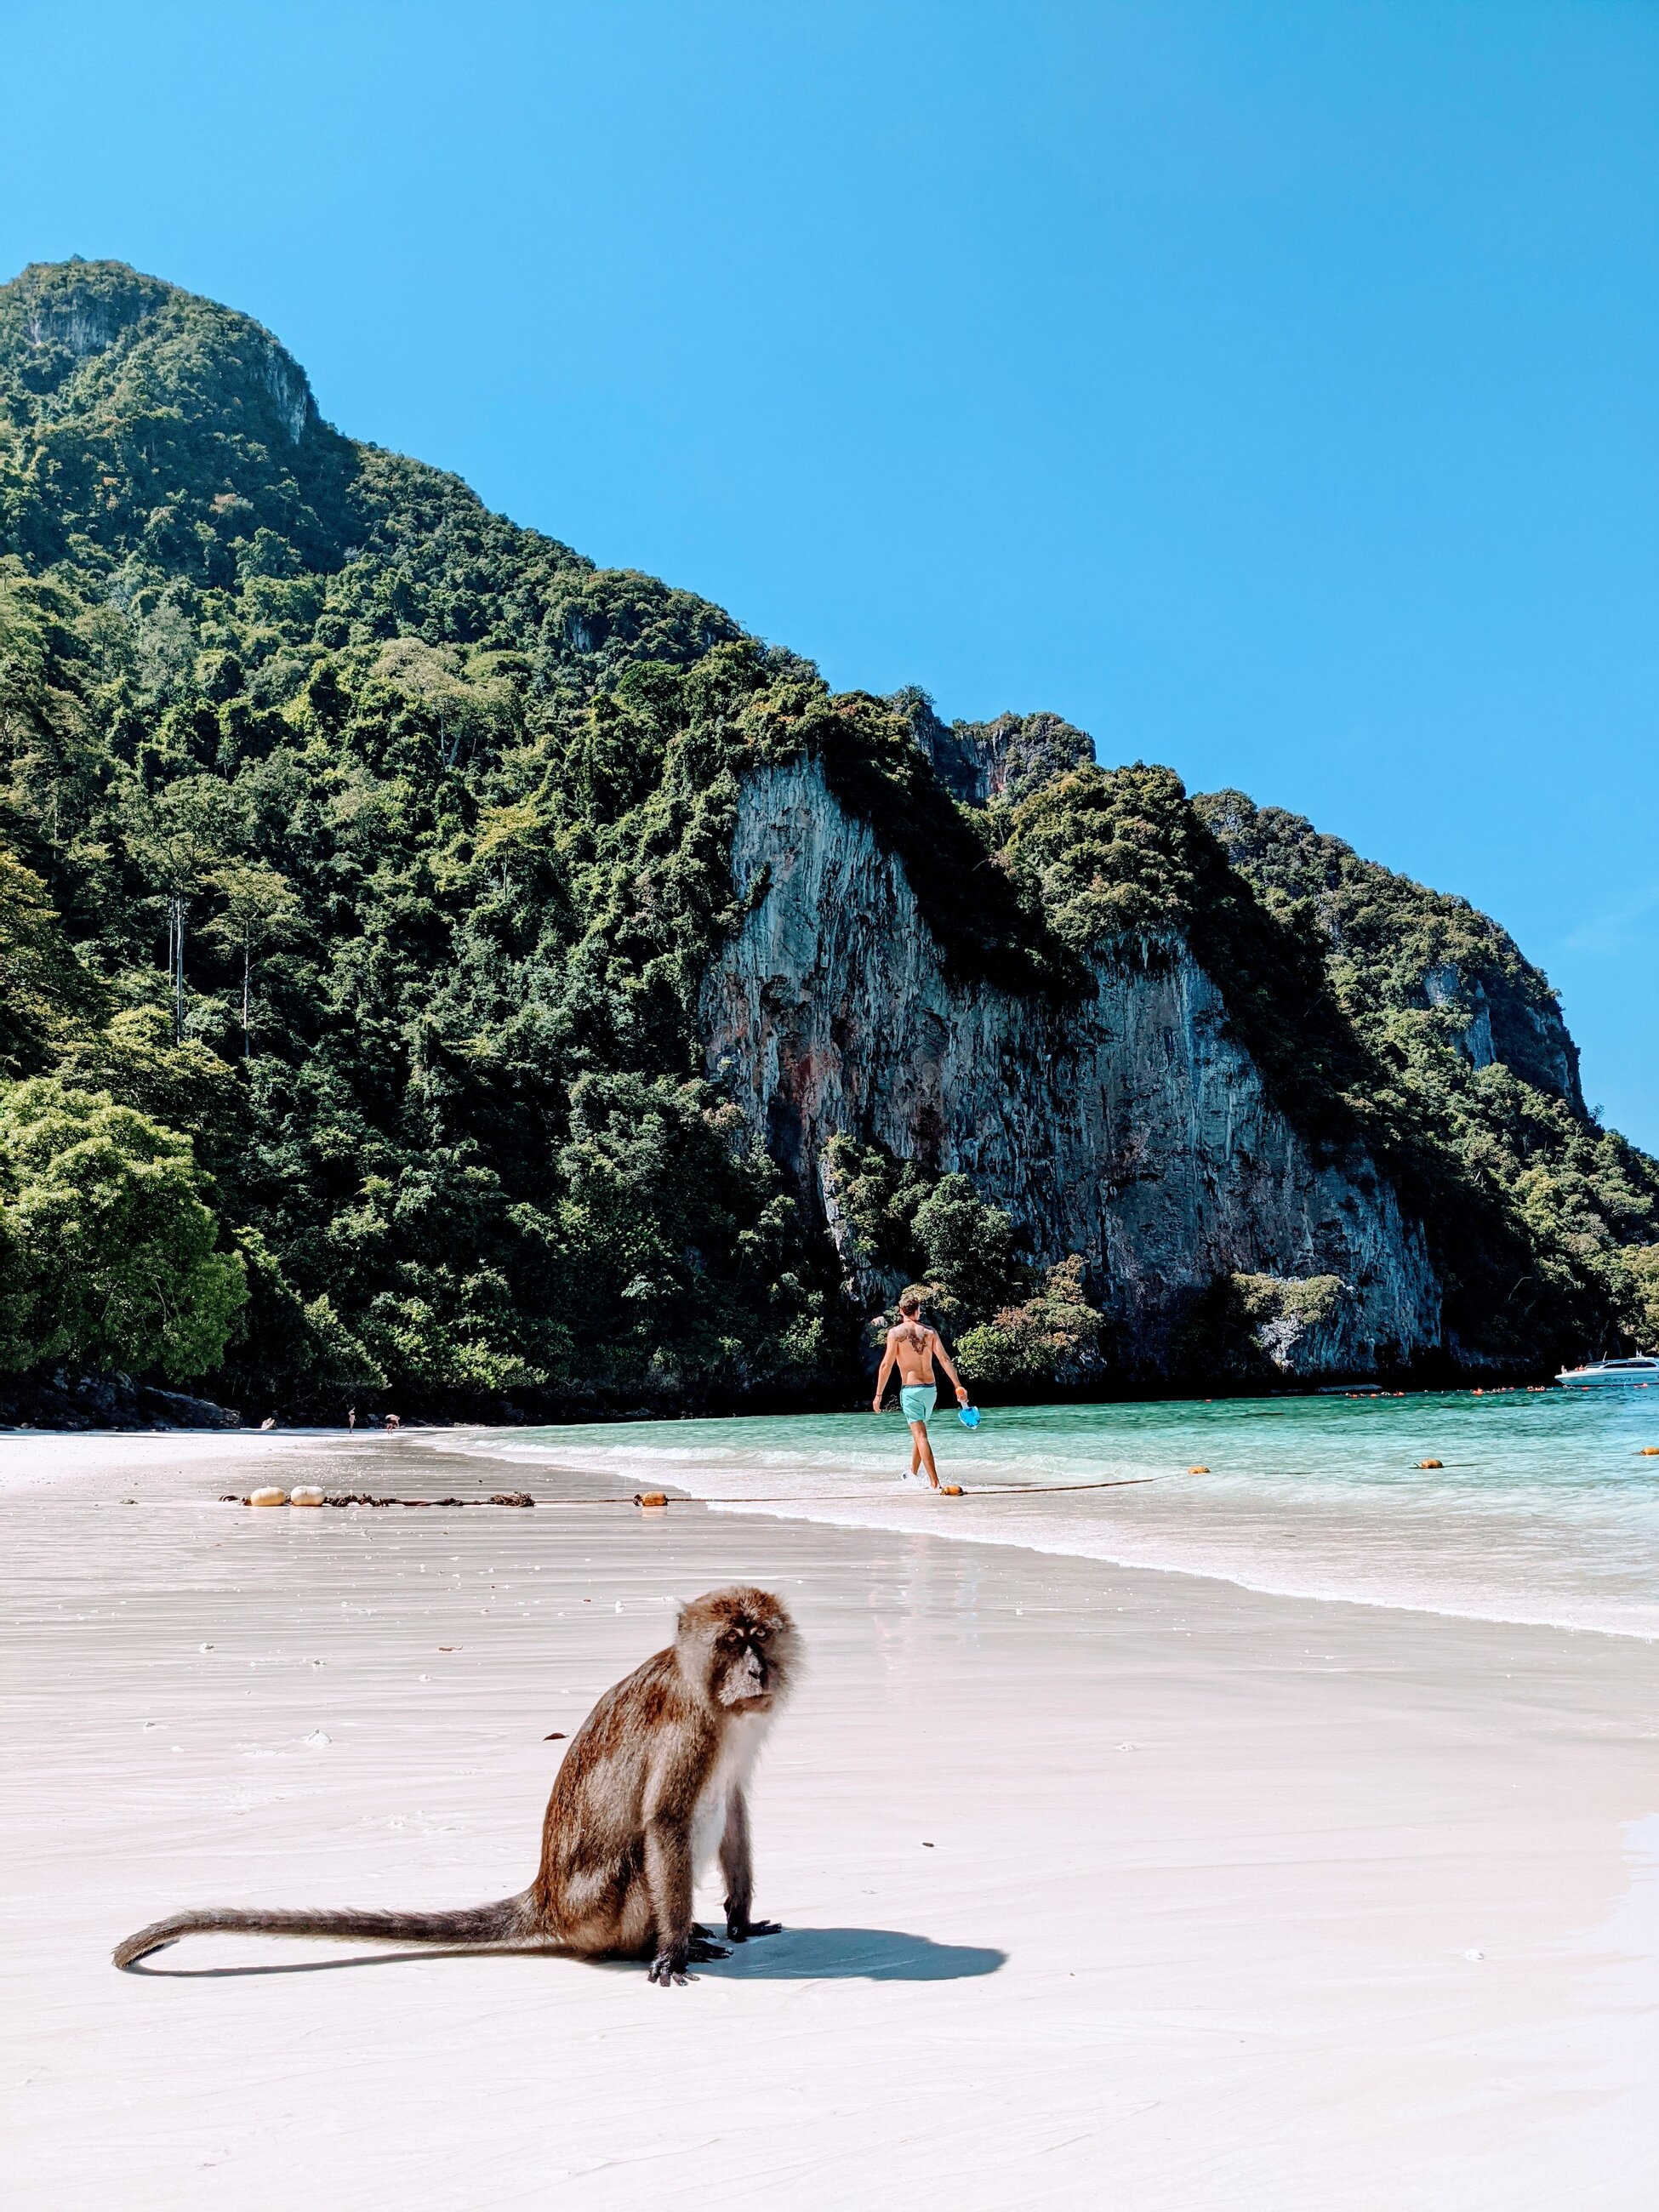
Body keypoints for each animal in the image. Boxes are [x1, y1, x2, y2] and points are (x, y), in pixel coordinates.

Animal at [113, 1583, 801, 1999]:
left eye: (761, 1638)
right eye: (731, 1642)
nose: (755, 1673)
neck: (717, 1701)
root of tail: (548, 1898)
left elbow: (734, 1806)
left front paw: (739, 1918)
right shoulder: (691, 1730)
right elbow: (663, 1821)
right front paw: (672, 1951)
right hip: (600, 1906)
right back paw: (647, 1946)